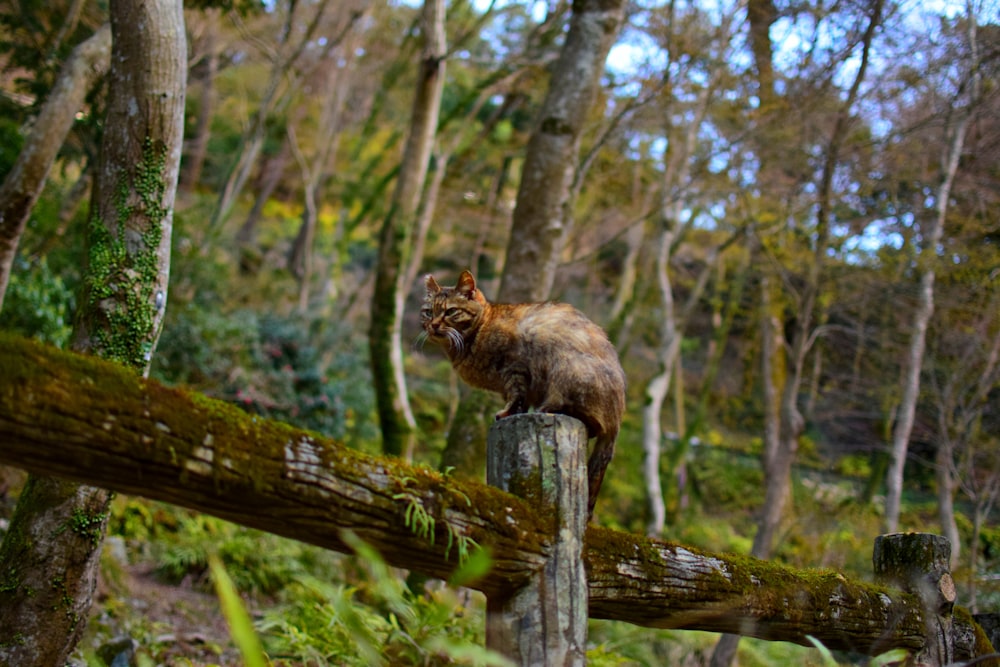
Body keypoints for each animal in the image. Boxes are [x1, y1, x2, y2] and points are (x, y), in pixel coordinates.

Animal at [420, 270, 624, 516]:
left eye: (450, 311)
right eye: (428, 311)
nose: (433, 325)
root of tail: (616, 422)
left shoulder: (515, 367)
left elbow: (516, 395)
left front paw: (506, 413)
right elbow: (520, 402)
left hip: (566, 369)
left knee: (587, 419)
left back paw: (548, 408)